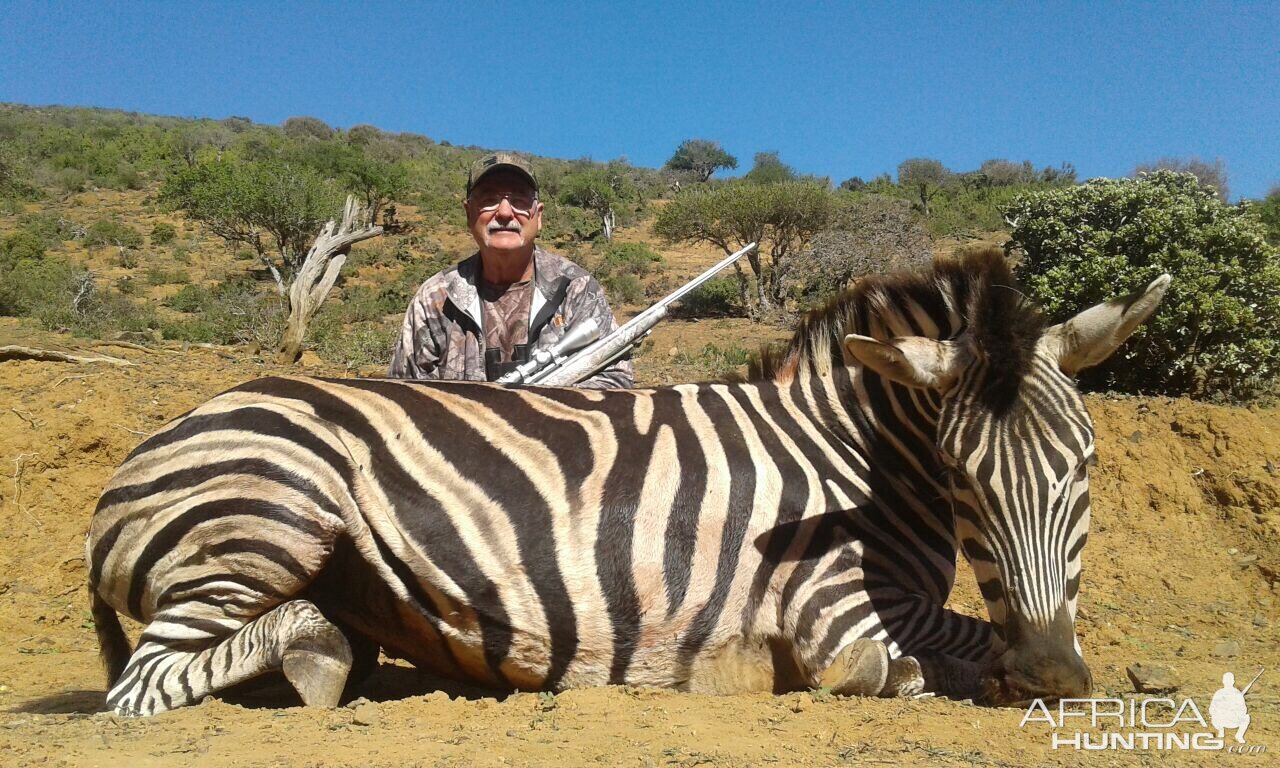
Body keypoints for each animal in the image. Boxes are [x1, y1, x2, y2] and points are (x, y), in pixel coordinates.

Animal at [87, 249, 1172, 716]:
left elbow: (983, 639)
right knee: (147, 685)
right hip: (276, 512)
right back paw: (314, 653)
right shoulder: (834, 613)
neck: (848, 463)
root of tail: (141, 453)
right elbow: (908, 664)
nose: (1053, 676)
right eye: (961, 475)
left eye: (1085, 465)